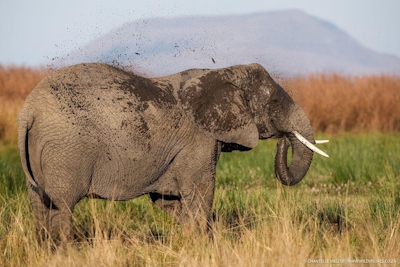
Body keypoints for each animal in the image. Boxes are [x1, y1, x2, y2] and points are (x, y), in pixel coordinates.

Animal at [17, 63, 326, 243]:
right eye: (274, 102)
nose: (283, 140)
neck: (222, 73)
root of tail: (28, 111)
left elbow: (167, 201)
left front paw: (200, 241)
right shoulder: (199, 141)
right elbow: (201, 192)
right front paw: (203, 246)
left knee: (39, 204)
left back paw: (45, 249)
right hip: (66, 151)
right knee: (63, 205)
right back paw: (67, 251)